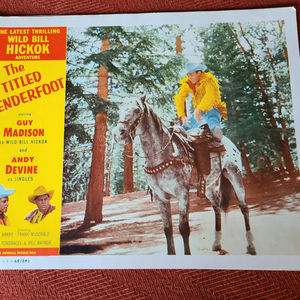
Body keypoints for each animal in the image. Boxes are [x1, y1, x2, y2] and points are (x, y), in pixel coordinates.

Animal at [112, 96, 255, 255]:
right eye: (119, 109)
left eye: (137, 110)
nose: (118, 134)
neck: (164, 154)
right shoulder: (160, 198)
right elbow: (167, 230)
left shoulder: (182, 194)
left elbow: (183, 228)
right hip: (209, 186)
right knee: (217, 208)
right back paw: (217, 244)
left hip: (235, 176)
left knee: (244, 207)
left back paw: (250, 246)